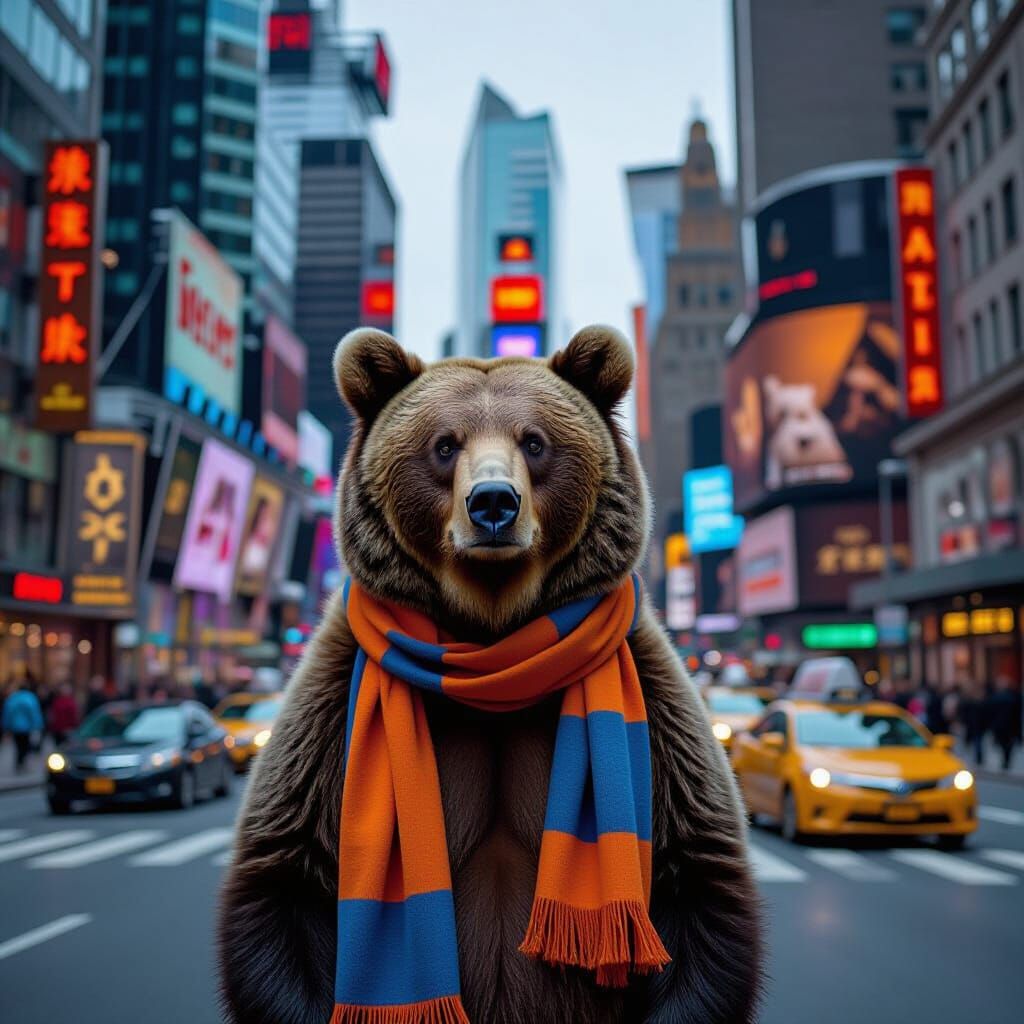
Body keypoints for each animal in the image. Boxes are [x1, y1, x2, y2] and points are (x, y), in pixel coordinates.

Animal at [217, 325, 763, 1024]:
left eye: (535, 441)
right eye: (444, 444)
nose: (494, 504)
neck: (492, 638)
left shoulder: (658, 702)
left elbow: (696, 869)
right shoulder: (328, 708)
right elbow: (287, 867)